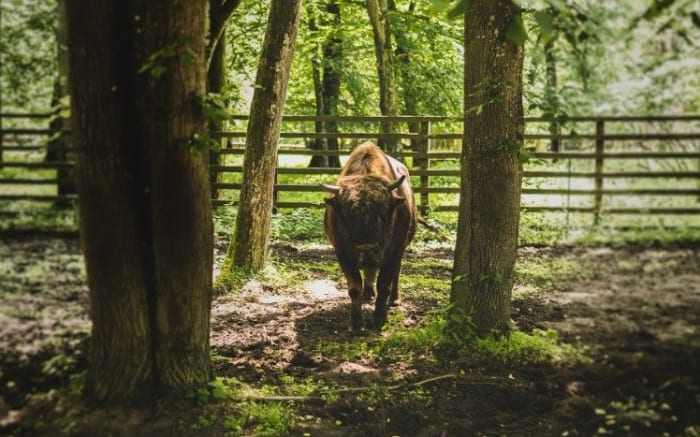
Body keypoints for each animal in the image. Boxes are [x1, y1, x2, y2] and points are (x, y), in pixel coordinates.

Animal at [321, 142, 417, 332]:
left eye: (382, 212)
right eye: (346, 215)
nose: (366, 248)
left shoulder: (395, 251)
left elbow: (384, 283)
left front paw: (379, 319)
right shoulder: (343, 253)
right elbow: (354, 286)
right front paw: (357, 324)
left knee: (395, 273)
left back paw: (395, 299)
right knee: (369, 271)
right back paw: (368, 295)